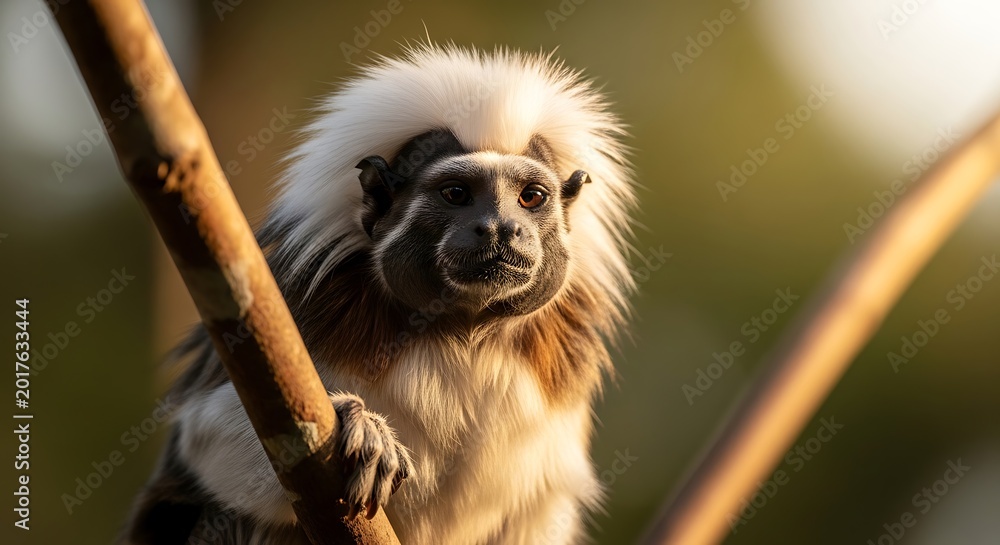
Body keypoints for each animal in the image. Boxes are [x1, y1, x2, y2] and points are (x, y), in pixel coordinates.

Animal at [122, 43, 637, 545]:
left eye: (530, 197)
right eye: (456, 193)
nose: (501, 229)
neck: (461, 333)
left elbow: (540, 506)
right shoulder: (295, 311)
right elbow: (206, 441)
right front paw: (363, 428)